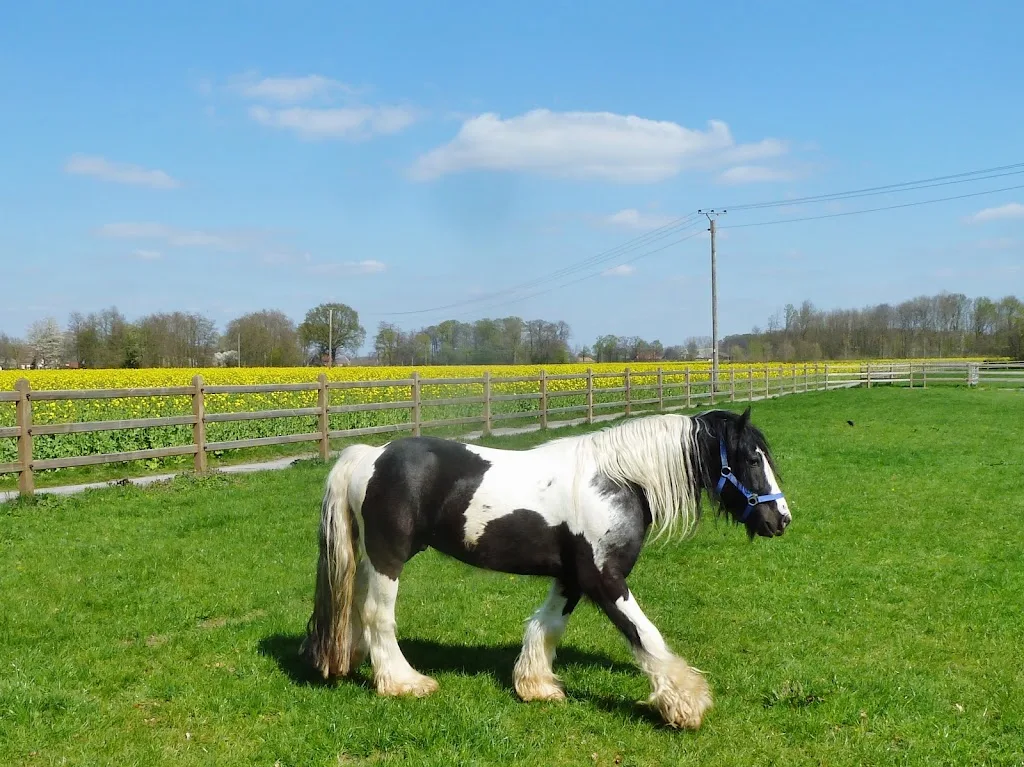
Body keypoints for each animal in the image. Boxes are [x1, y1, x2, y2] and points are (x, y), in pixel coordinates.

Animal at [300, 406, 791, 730]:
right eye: (751, 458)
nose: (781, 520)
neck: (617, 480)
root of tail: (369, 455)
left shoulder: (572, 578)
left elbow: (547, 626)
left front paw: (535, 686)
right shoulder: (604, 579)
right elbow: (645, 635)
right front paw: (685, 703)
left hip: (372, 559)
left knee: (357, 607)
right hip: (390, 558)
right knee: (378, 616)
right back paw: (404, 682)